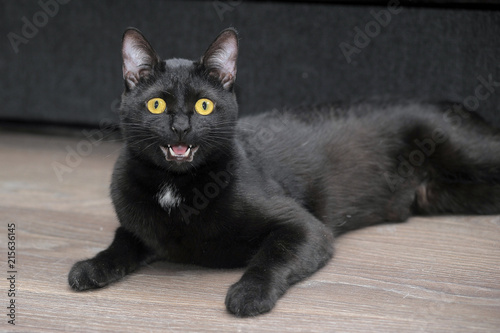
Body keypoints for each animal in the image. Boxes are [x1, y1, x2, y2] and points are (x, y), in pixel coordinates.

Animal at [67, 27, 500, 316]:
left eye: (204, 106)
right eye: (156, 105)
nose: (180, 126)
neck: (177, 186)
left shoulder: (306, 228)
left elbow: (271, 255)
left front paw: (248, 294)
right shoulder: (140, 227)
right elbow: (121, 243)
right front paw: (91, 267)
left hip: (469, 151)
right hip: (440, 195)